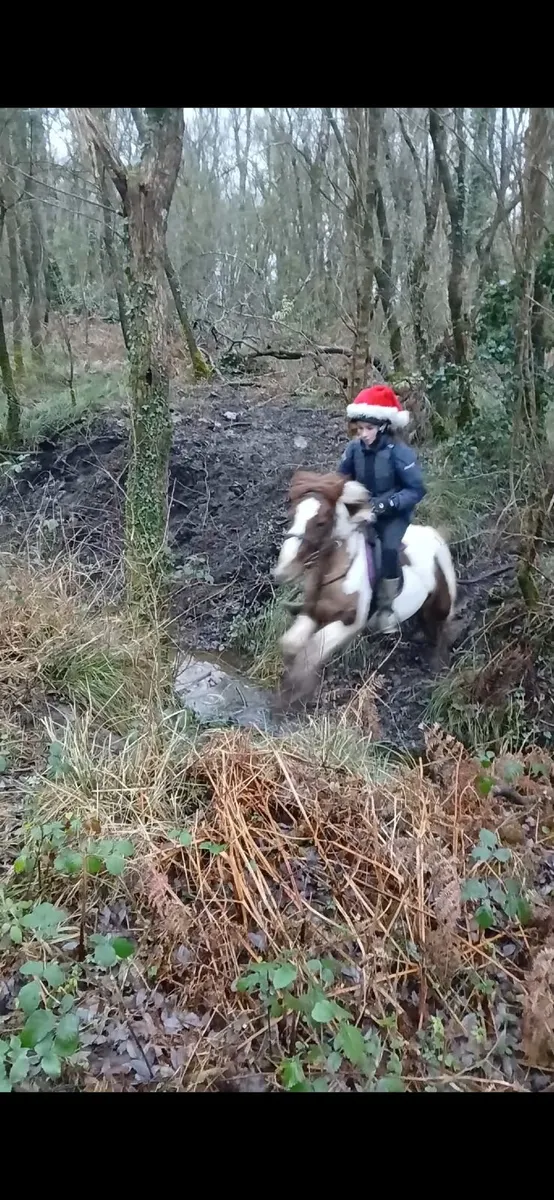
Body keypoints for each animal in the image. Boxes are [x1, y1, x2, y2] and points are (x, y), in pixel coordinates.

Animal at [272, 469, 457, 698]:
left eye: (321, 522)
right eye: (292, 516)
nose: (283, 571)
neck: (337, 571)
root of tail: (436, 537)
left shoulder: (349, 623)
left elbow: (312, 652)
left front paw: (298, 693)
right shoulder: (313, 613)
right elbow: (291, 645)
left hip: (440, 606)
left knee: (440, 636)